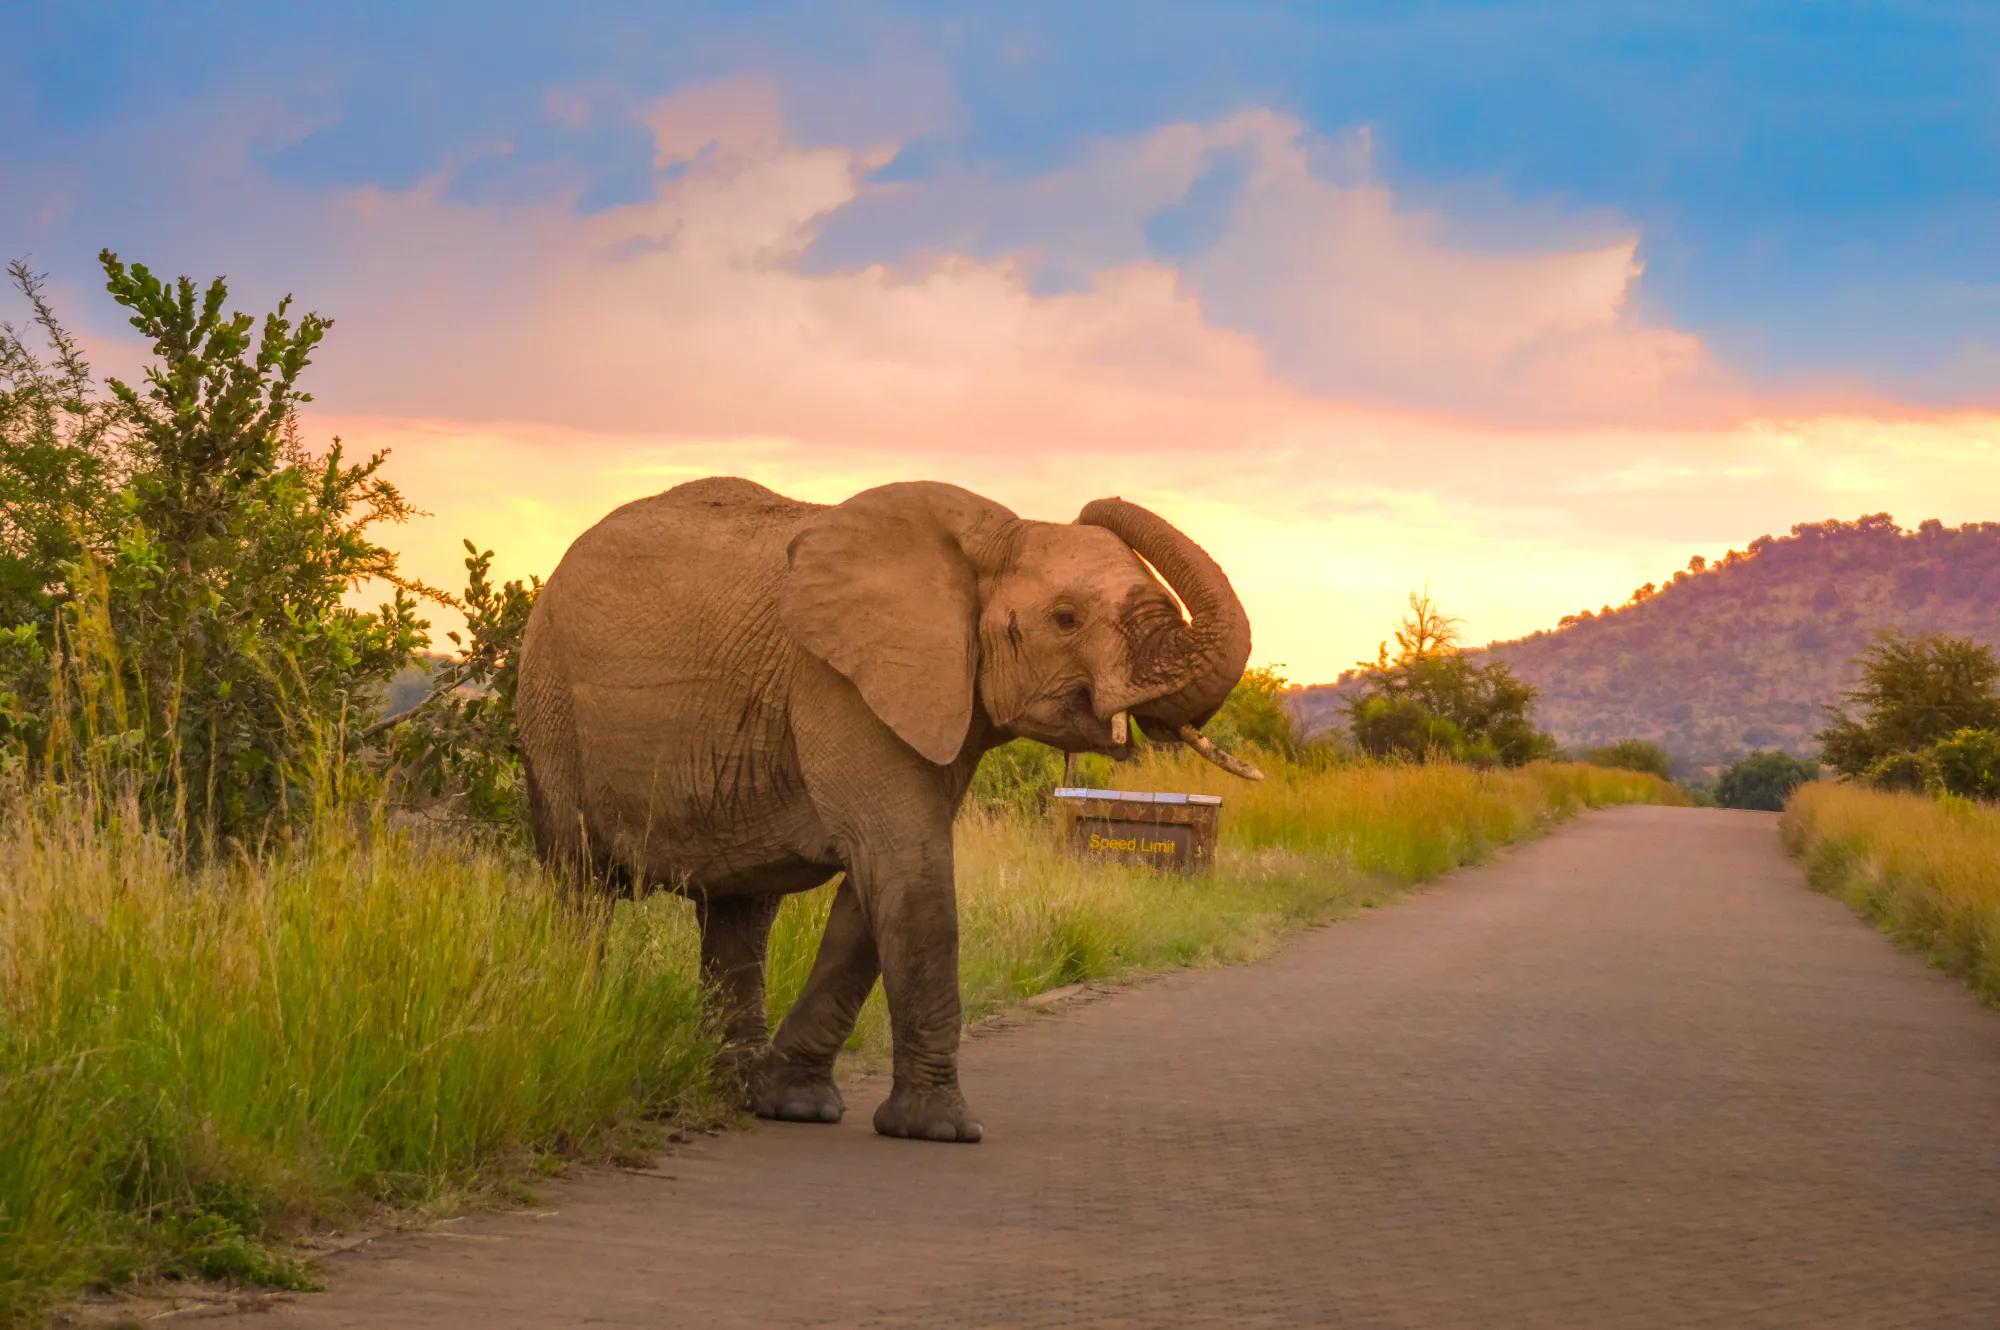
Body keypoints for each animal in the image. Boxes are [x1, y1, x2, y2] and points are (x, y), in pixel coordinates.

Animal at [512, 480, 1248, 1144]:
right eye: (1066, 619)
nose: (1099, 501)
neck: (996, 534)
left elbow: (881, 885)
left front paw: (794, 1103)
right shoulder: (839, 682)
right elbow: (907, 865)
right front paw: (943, 1130)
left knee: (740, 912)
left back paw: (733, 1092)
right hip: (551, 706)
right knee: (581, 885)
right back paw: (578, 1034)